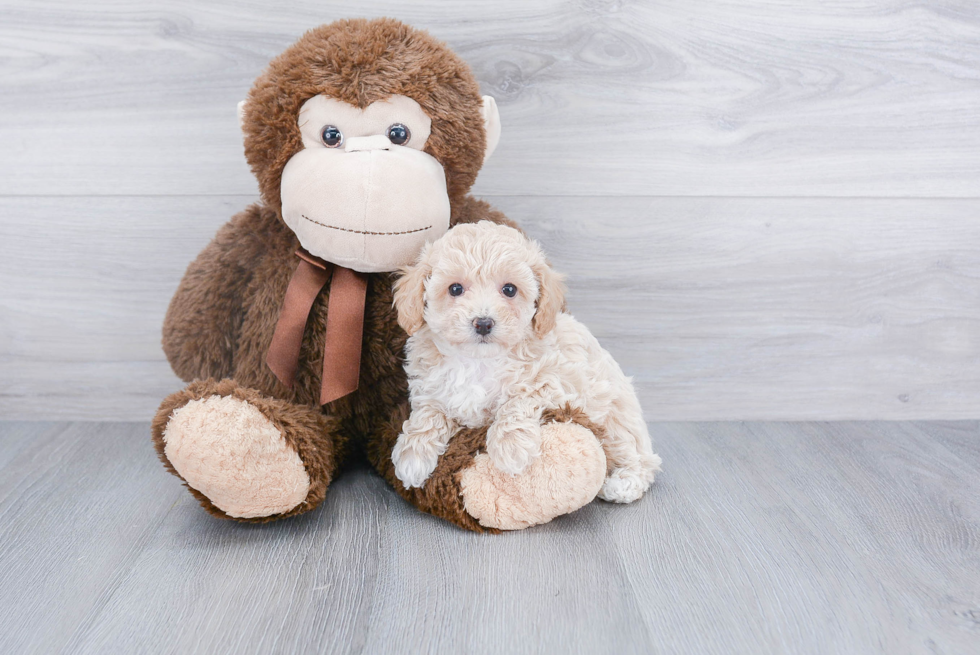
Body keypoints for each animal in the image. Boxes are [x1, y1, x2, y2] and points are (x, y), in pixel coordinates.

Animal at [388, 220, 660, 502]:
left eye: (509, 290)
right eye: (455, 289)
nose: (483, 323)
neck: (478, 361)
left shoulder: (557, 379)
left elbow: (519, 398)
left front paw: (510, 447)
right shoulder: (431, 391)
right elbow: (428, 416)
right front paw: (412, 455)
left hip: (616, 419)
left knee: (641, 458)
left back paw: (623, 484)